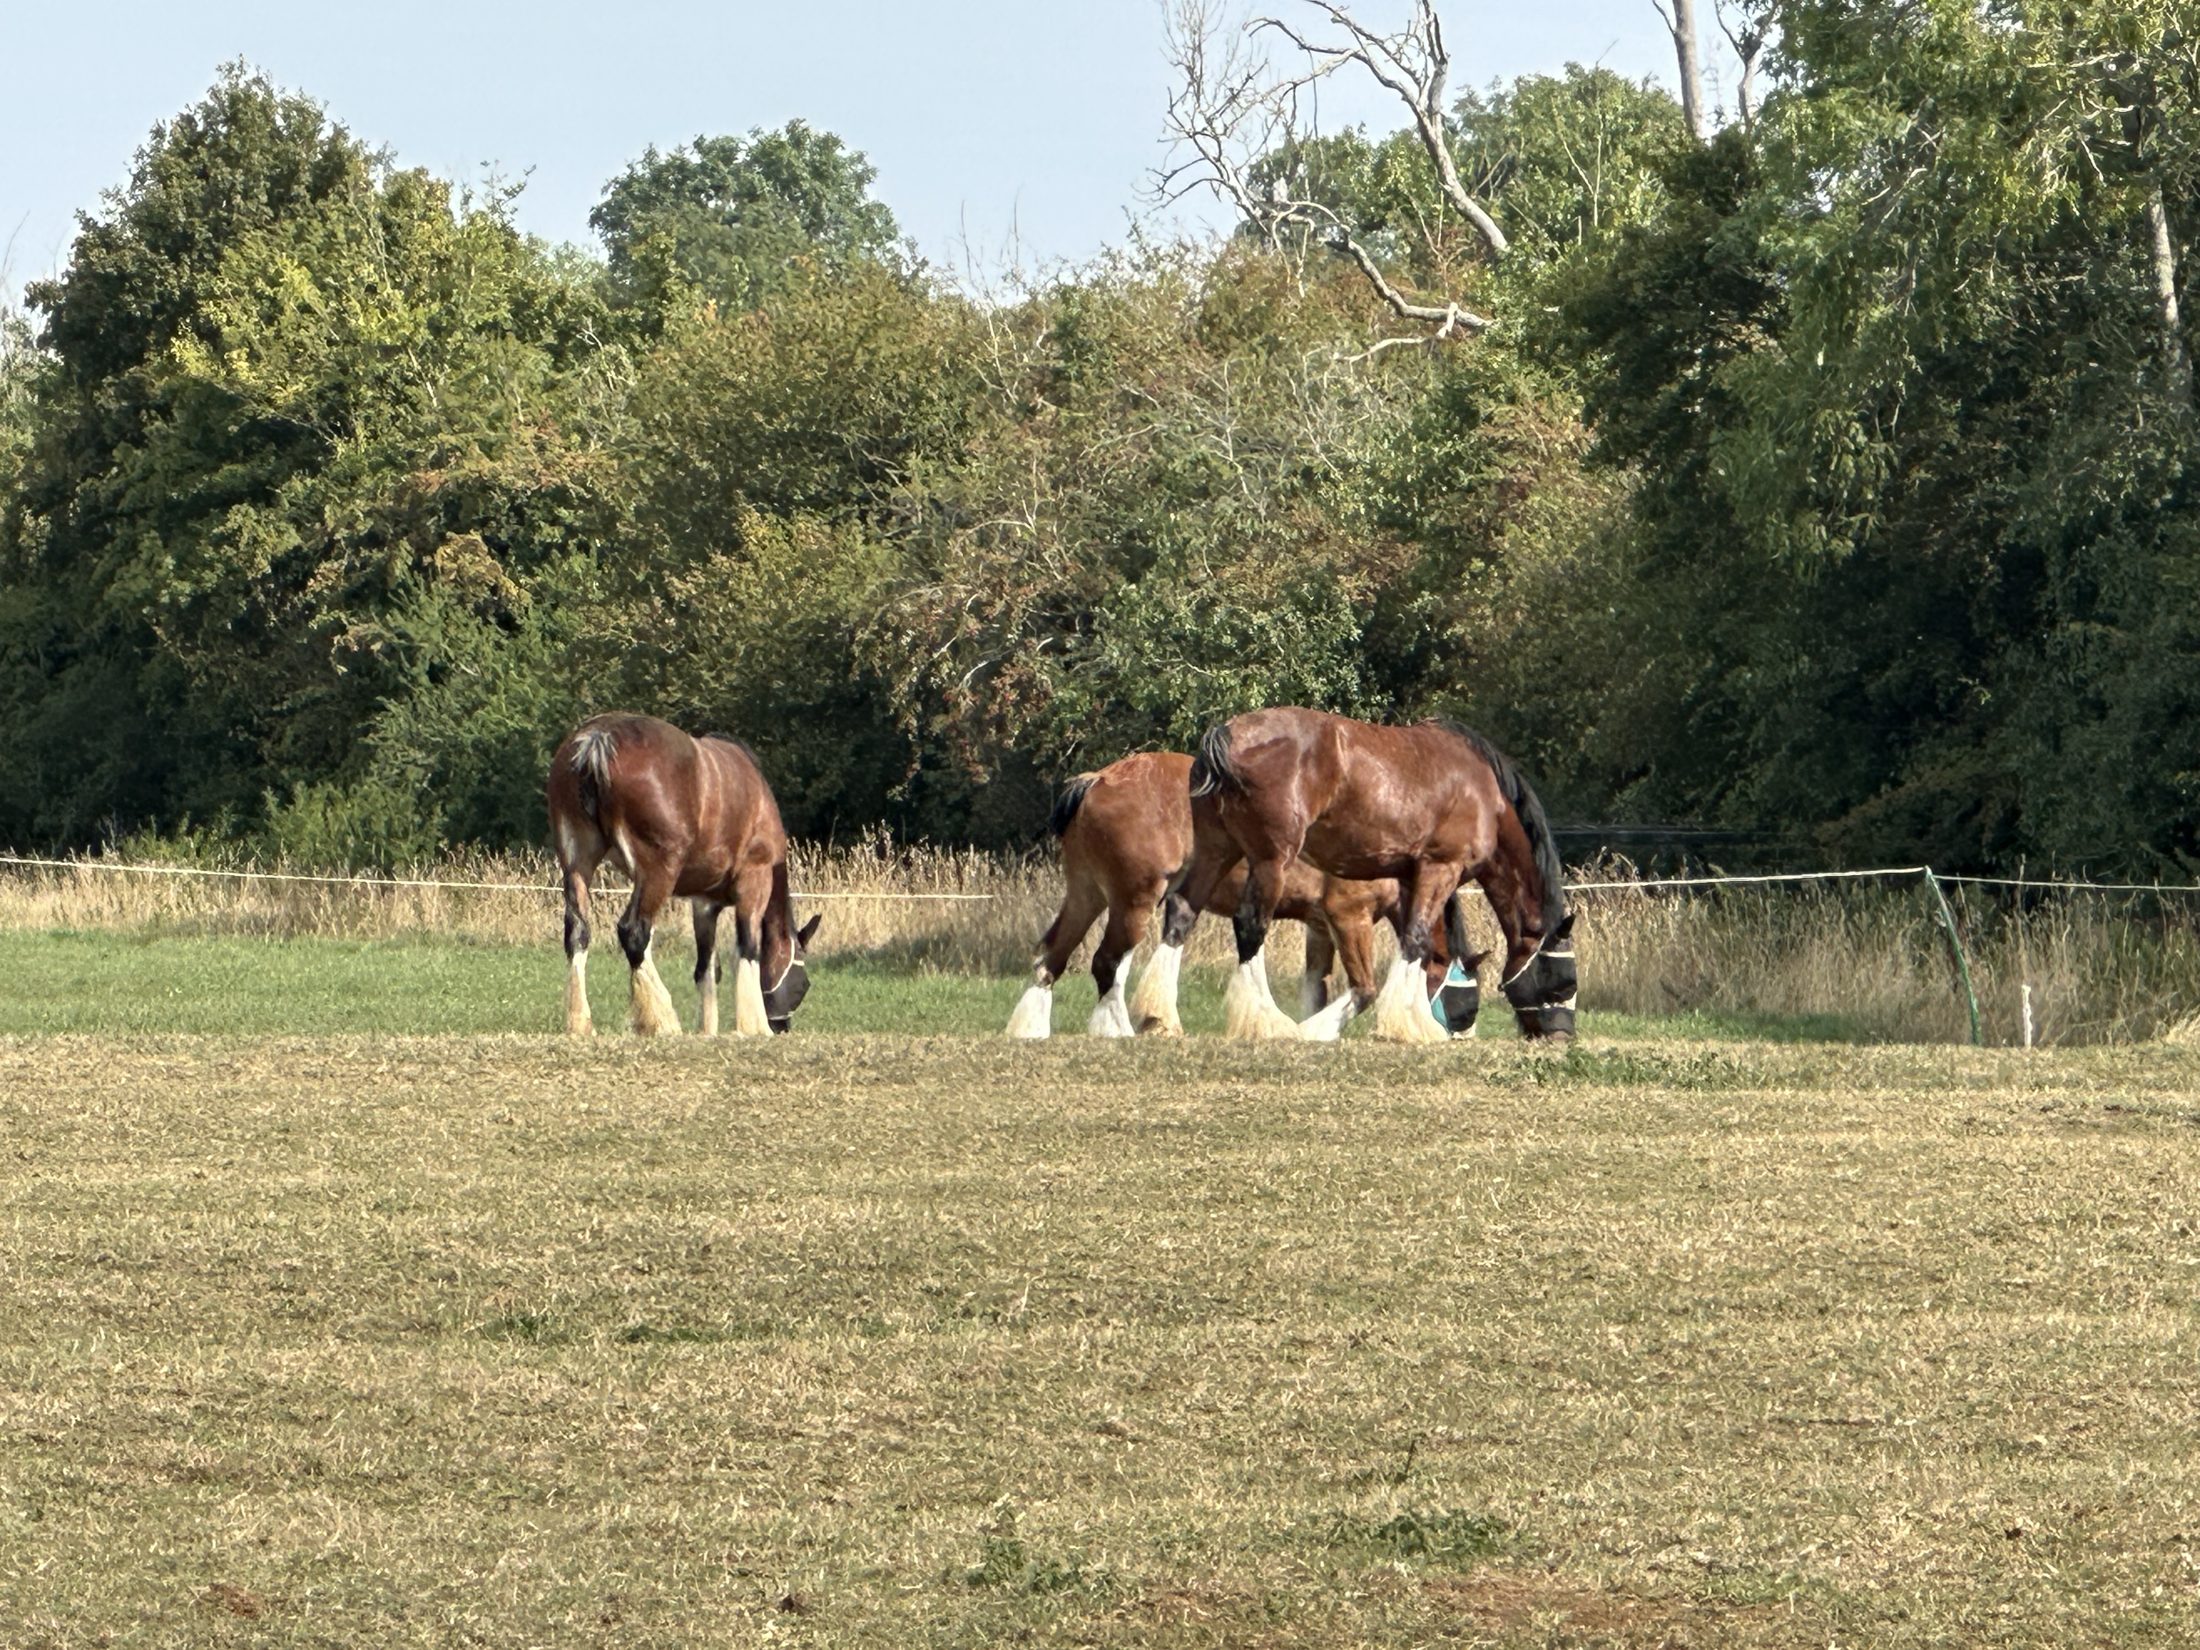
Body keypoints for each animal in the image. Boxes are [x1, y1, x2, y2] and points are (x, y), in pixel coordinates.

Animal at [547, 713, 821, 1037]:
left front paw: (708, 1029)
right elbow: (748, 948)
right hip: (658, 870)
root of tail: (597, 740)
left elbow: (707, 968)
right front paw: (754, 1026)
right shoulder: (754, 881)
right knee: (634, 932)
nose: (782, 1027)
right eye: (804, 984)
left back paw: (581, 1022)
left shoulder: (704, 904)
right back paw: (661, 1018)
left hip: (577, 861)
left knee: (579, 932)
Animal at [1003, 751, 1482, 1041]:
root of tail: (1100, 779)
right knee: (1105, 962)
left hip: (1088, 895)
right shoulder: (1349, 917)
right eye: (1464, 995)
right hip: (1133, 900)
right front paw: (1311, 1030)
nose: (1463, 1032)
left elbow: (1317, 987)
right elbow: (1362, 988)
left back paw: (1033, 1025)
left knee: (1054, 956)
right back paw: (1120, 1029)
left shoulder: (1319, 928)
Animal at [1146, 709, 1575, 1044]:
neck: (1482, 790)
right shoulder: (1439, 868)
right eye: (1564, 980)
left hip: (1216, 850)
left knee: (1183, 912)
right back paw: (1266, 1020)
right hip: (1270, 859)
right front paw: (1398, 1024)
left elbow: (1420, 948)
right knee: (1251, 925)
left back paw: (1158, 1015)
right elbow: (1415, 943)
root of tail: (1227, 734)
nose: (1563, 1035)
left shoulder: (1408, 878)